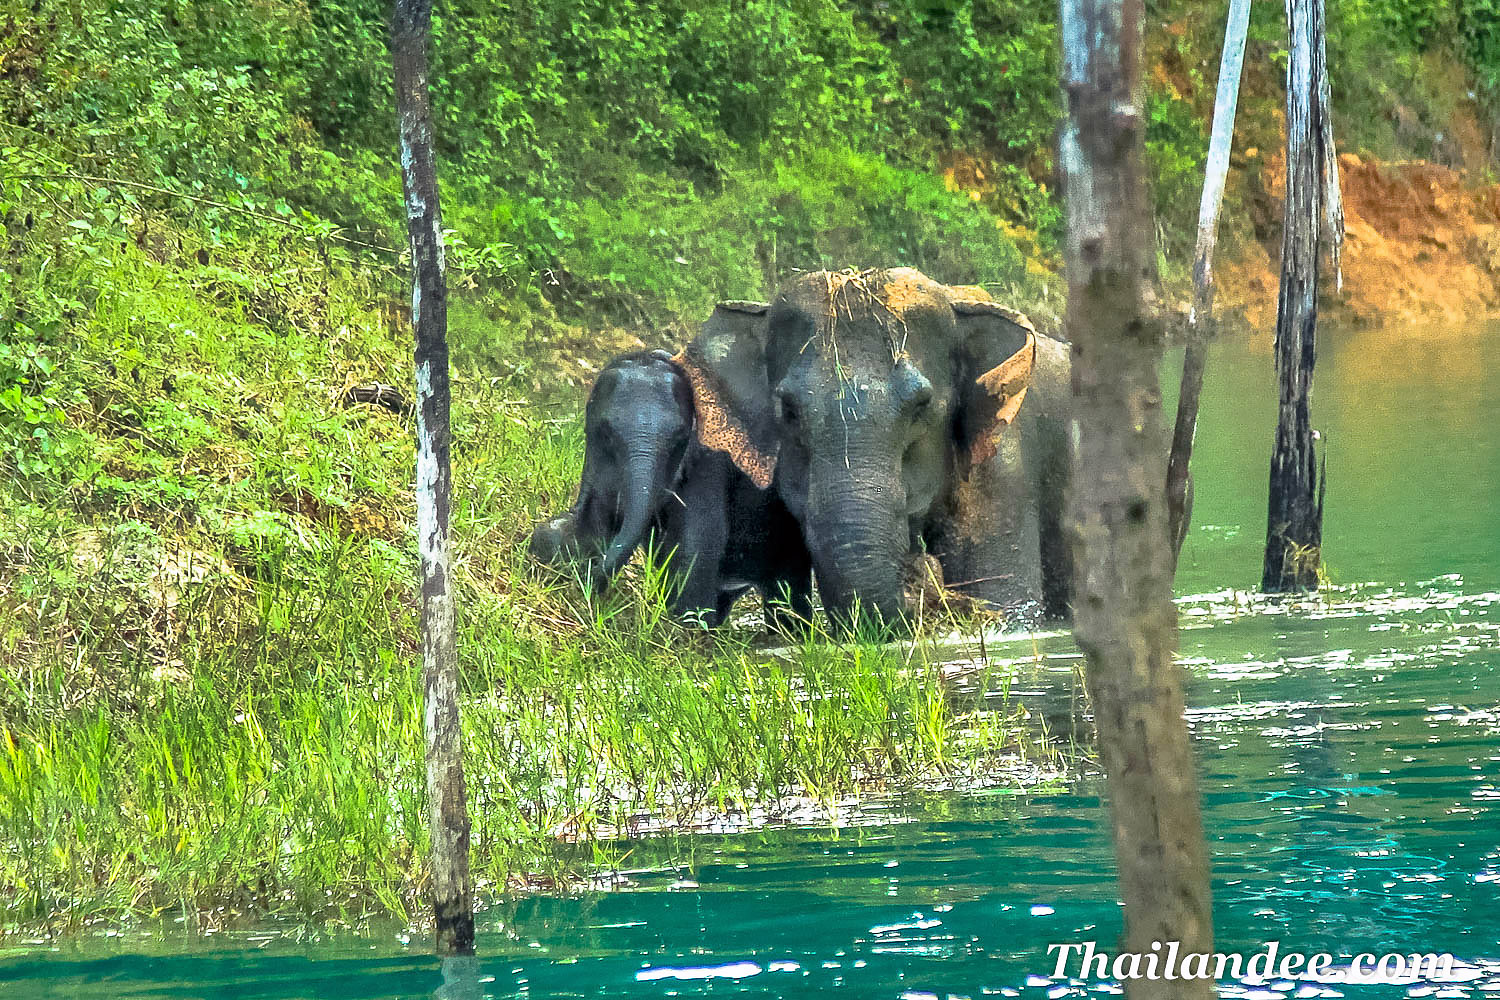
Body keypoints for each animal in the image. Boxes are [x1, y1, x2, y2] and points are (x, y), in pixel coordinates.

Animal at [528, 352, 810, 629]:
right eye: (607, 433)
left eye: (679, 439)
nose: (592, 579)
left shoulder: (708, 467)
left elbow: (694, 552)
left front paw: (685, 625)